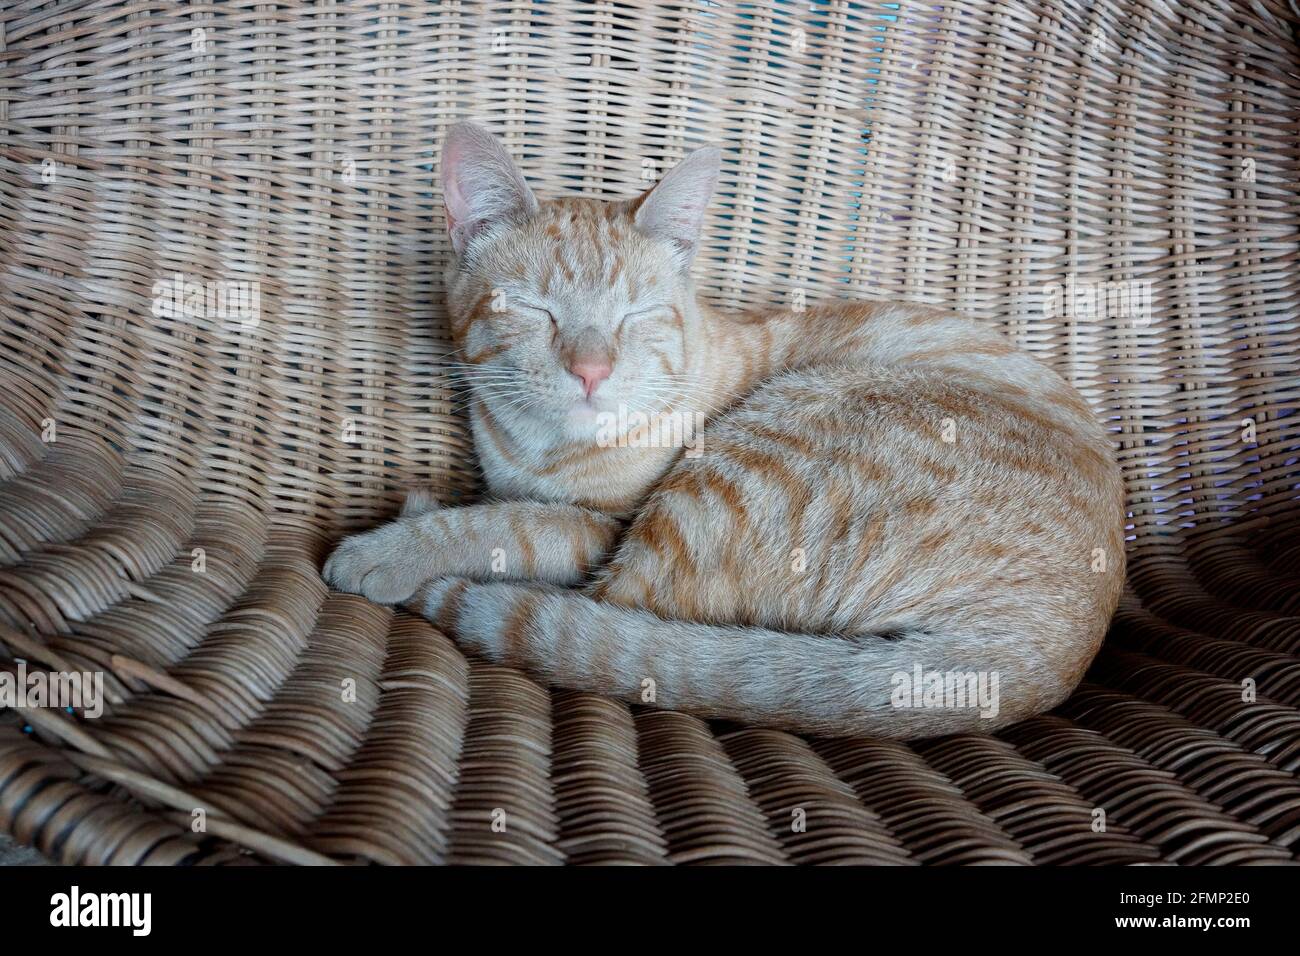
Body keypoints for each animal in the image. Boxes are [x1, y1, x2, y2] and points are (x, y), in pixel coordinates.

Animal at [325, 121, 1128, 738]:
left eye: (636, 316)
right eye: (534, 310)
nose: (590, 370)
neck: (539, 448)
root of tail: (1048, 649)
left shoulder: (602, 528)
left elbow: (502, 525)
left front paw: (390, 546)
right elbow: (499, 508)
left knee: (608, 613)